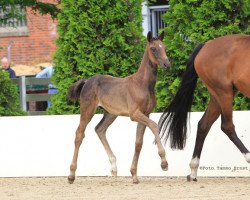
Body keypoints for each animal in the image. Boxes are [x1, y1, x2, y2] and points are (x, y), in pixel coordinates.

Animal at [67, 31, 171, 184]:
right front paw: (164, 163)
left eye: (164, 47)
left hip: (110, 114)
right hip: (87, 110)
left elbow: (138, 143)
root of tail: (87, 81)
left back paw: (114, 167)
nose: (167, 64)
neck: (142, 84)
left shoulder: (145, 114)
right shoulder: (135, 114)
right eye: (153, 49)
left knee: (99, 129)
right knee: (79, 134)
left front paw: (134, 175)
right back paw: (71, 175)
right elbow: (154, 125)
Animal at [159, 34, 250, 181]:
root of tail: (207, 45)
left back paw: (193, 171)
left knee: (204, 125)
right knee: (227, 126)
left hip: (218, 95)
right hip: (223, 92)